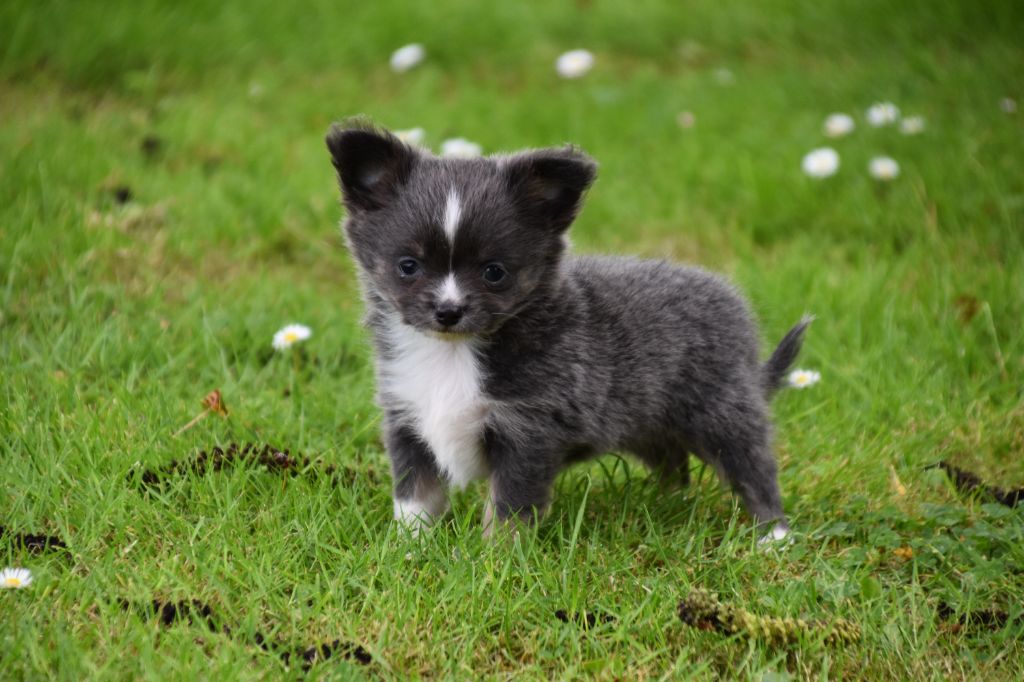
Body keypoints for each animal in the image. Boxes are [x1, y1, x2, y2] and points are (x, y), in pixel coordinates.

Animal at [326, 122, 809, 542]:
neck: (453, 353)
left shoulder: (528, 433)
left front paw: (496, 561)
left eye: (494, 272)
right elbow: (415, 499)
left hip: (722, 414)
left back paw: (774, 536)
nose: (449, 310)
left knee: (754, 470)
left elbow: (508, 507)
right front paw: (408, 549)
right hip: (650, 424)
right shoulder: (407, 419)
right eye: (408, 266)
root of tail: (734, 304)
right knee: (673, 461)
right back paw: (669, 503)